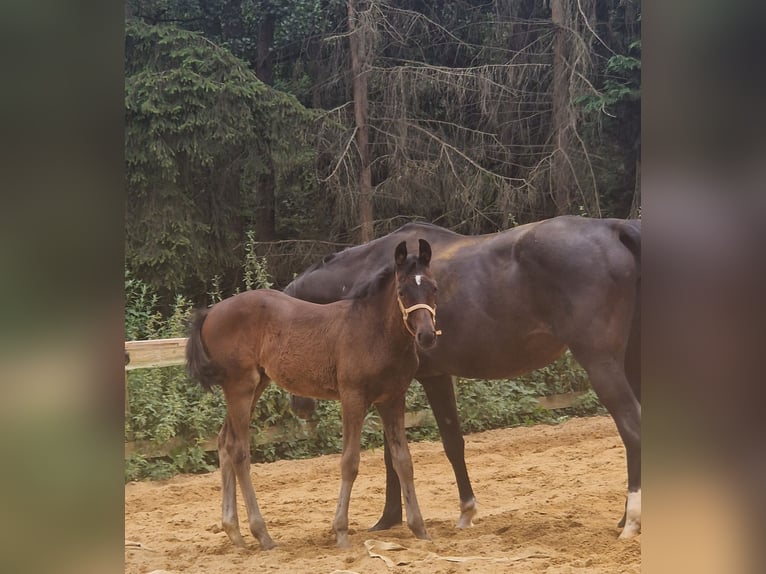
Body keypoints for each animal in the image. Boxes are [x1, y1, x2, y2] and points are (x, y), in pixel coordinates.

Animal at [186, 239, 439, 549]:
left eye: (433, 287)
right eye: (402, 290)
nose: (427, 336)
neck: (375, 332)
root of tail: (210, 312)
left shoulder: (392, 399)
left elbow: (403, 461)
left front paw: (420, 529)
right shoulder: (353, 397)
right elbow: (349, 462)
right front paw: (341, 532)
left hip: (256, 384)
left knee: (224, 441)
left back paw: (234, 532)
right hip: (239, 386)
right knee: (238, 449)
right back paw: (262, 534)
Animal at [284, 216, 642, 539]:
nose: (299, 407)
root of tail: (615, 228)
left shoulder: (432, 377)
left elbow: (448, 443)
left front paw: (461, 511)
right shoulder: (396, 386)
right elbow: (394, 453)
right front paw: (390, 518)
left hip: (601, 362)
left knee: (631, 427)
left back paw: (632, 522)